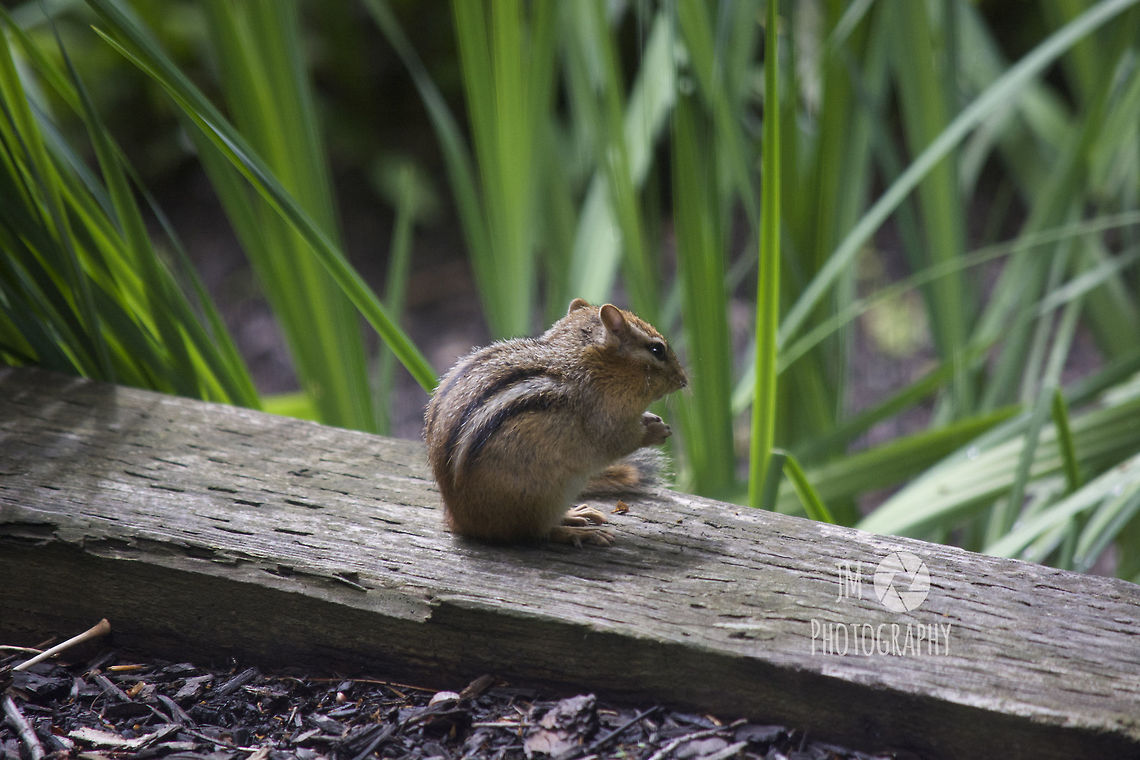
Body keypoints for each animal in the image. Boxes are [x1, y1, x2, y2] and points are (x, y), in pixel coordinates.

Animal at [424, 298, 687, 546]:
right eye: (657, 349)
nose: (683, 380)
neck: (593, 367)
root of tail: (458, 520)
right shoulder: (604, 419)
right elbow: (620, 440)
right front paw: (656, 431)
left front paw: (651, 419)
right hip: (545, 495)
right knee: (538, 532)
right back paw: (580, 531)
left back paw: (576, 513)